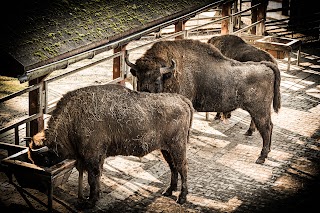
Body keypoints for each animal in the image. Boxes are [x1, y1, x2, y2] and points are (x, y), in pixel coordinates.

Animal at [28, 84, 192, 207]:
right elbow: (95, 177)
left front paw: (91, 201)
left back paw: (181, 198)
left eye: (44, 158)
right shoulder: (93, 158)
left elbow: (93, 178)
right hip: (166, 149)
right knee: (173, 167)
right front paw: (93, 197)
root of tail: (183, 100)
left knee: (182, 168)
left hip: (177, 147)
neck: (72, 118)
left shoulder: (93, 156)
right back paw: (169, 191)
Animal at [125, 39, 280, 164]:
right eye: (138, 78)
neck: (171, 74)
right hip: (257, 111)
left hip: (260, 111)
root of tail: (265, 65)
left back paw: (261, 157)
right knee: (268, 126)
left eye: (157, 80)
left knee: (267, 128)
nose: (145, 94)